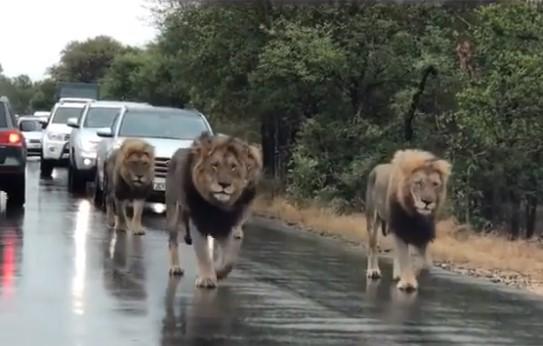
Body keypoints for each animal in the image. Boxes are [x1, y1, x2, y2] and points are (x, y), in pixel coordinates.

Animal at [165, 132, 262, 290]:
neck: (218, 206)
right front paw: (206, 279)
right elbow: (203, 253)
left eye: (233, 167)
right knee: (172, 242)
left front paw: (218, 272)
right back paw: (175, 267)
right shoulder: (198, 223)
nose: (224, 184)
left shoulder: (228, 228)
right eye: (215, 165)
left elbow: (229, 259)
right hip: (174, 213)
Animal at [366, 149, 454, 292]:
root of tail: (376, 167)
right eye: (418, 182)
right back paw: (373, 271)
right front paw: (407, 282)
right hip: (373, 220)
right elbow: (404, 256)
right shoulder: (400, 228)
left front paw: (408, 275)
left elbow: (422, 262)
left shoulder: (422, 234)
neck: (415, 214)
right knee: (372, 246)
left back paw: (397, 274)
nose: (427, 202)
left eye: (435, 184)